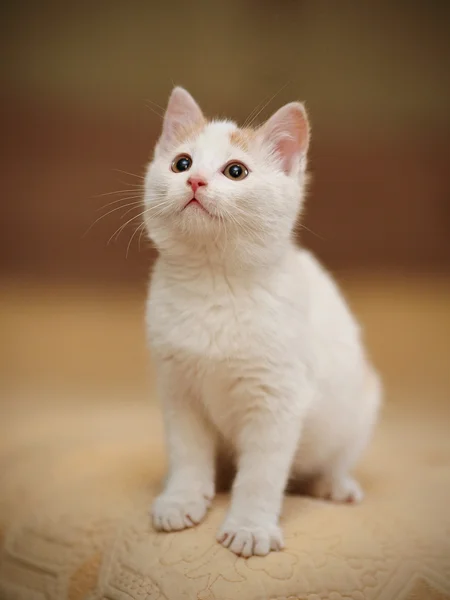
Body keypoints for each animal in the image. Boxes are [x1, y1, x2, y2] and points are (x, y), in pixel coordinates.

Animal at [143, 88, 380, 556]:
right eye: (181, 163)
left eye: (236, 171)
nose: (195, 181)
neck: (213, 283)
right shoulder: (177, 390)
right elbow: (187, 453)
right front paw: (182, 498)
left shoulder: (278, 398)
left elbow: (260, 475)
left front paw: (250, 526)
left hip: (359, 408)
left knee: (335, 457)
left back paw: (334, 484)